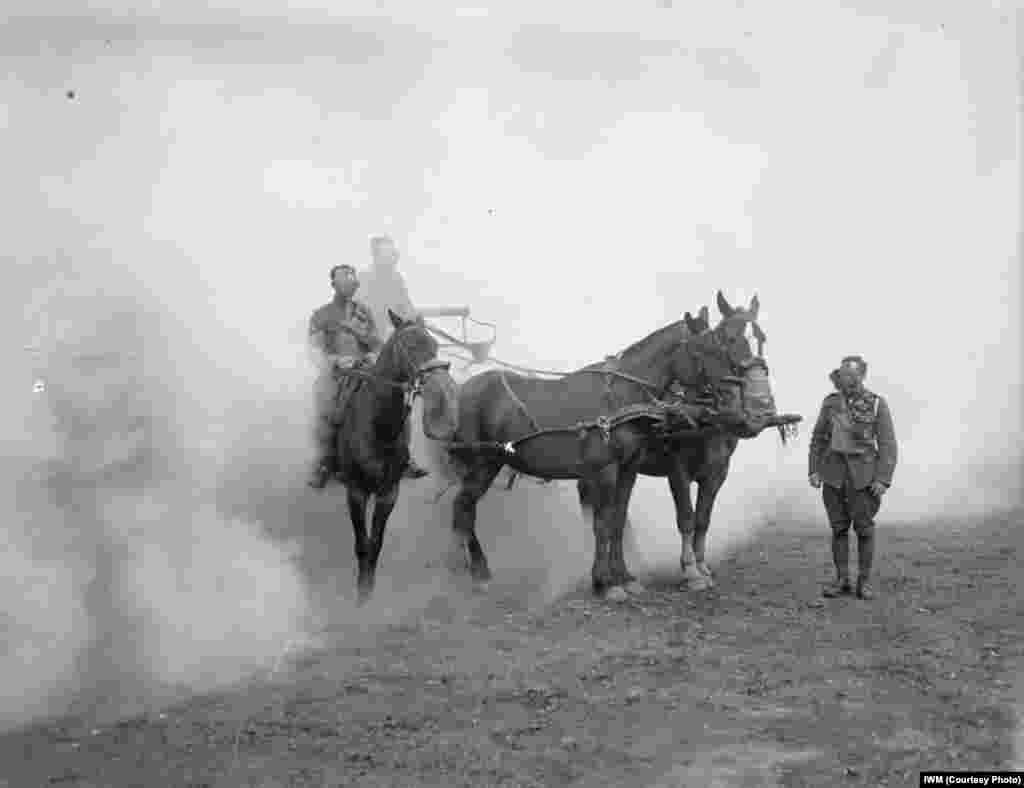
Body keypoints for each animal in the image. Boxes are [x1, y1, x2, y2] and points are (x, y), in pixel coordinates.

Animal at [331, 309, 456, 601]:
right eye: (410, 346)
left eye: (434, 344)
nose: (441, 384)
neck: (378, 426)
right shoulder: (356, 491)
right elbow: (362, 543)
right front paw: (360, 598)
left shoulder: (389, 492)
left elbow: (376, 543)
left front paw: (368, 591)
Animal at [428, 292, 770, 597]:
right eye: (708, 348)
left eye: (760, 338)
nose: (737, 400)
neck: (622, 399)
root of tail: (463, 390)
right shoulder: (609, 470)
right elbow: (604, 524)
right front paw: (606, 583)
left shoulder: (629, 469)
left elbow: (618, 520)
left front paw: (626, 577)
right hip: (481, 464)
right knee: (463, 509)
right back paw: (476, 573)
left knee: (464, 510)